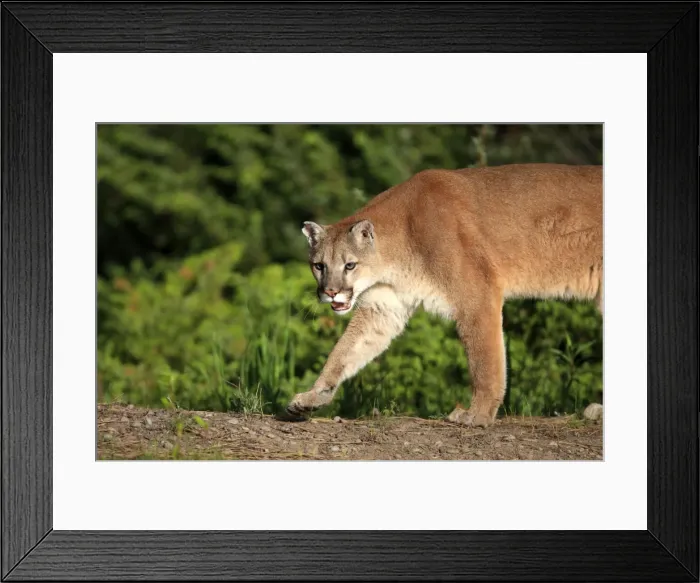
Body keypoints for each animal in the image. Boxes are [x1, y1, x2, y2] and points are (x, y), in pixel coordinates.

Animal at [286, 163, 602, 427]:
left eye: (350, 265)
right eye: (319, 266)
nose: (330, 292)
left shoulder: (477, 298)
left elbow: (485, 362)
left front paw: (478, 415)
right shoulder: (384, 308)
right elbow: (344, 351)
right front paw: (313, 396)